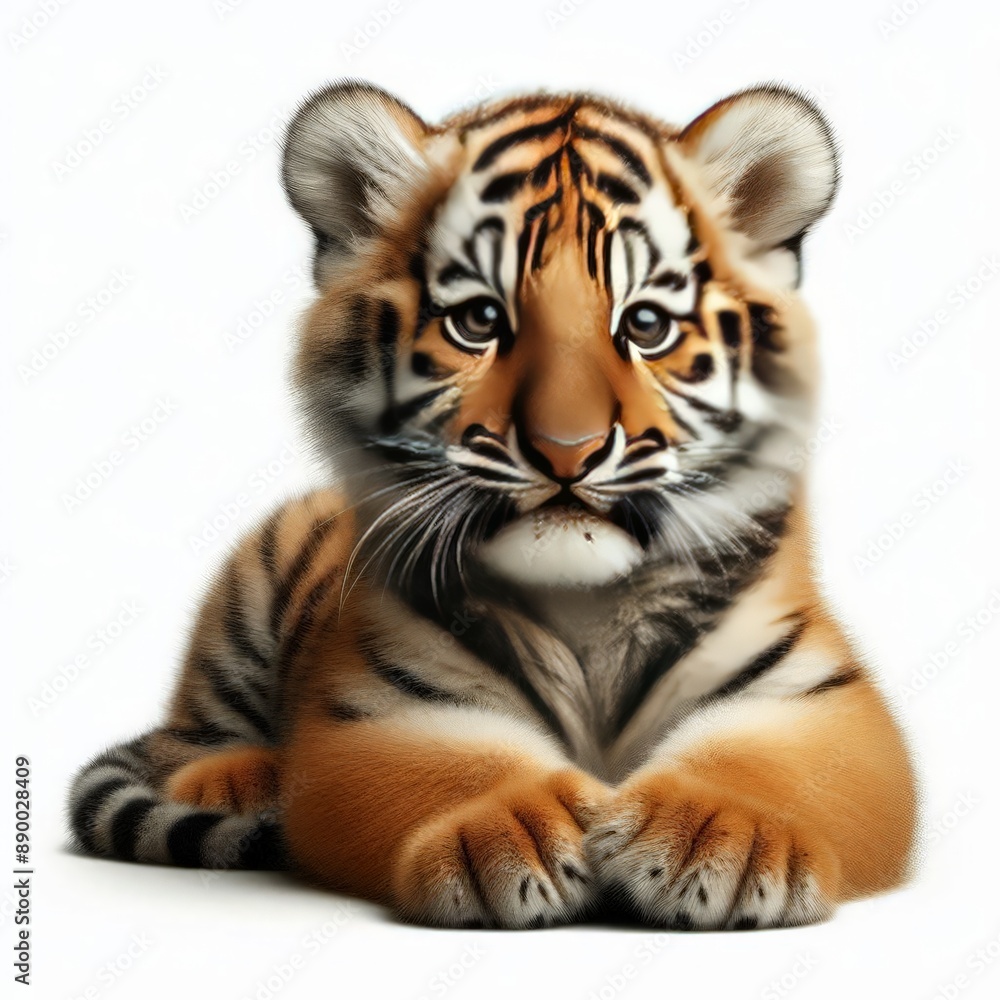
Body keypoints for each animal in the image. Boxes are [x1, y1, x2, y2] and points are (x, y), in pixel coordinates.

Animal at [68, 81, 917, 931]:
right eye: (478, 321)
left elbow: (770, 766)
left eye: (645, 324)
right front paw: (514, 835)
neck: (585, 608)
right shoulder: (385, 705)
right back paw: (236, 779)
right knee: (185, 738)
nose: (567, 449)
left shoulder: (815, 698)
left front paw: (718, 836)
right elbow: (453, 766)